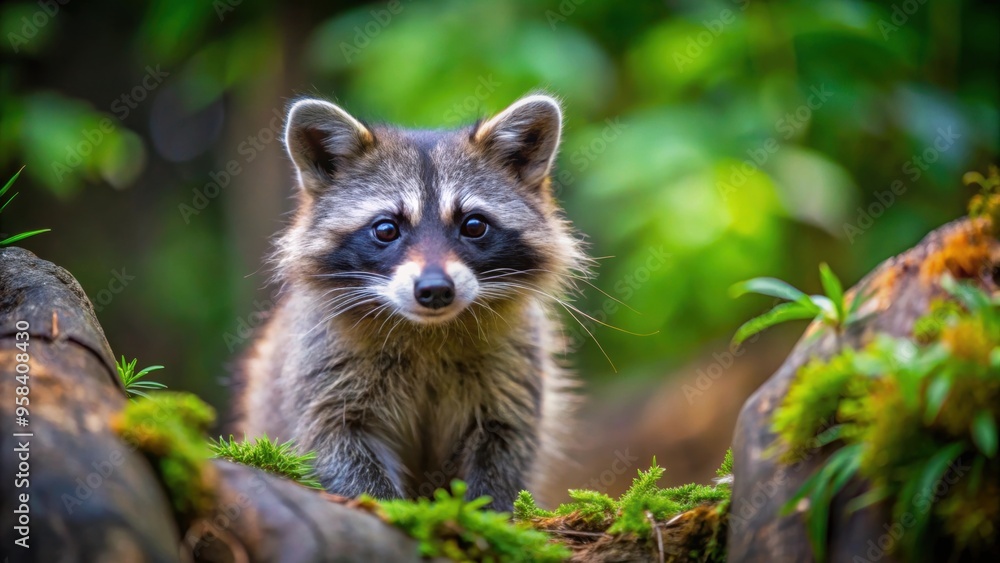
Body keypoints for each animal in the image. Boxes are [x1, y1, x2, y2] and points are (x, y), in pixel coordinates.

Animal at [233, 93, 589, 511]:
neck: (428, 330)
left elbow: (506, 445)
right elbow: (336, 441)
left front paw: (492, 512)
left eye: (473, 225)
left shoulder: (513, 366)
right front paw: (382, 505)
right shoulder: (322, 363)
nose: (435, 289)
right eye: (386, 229)